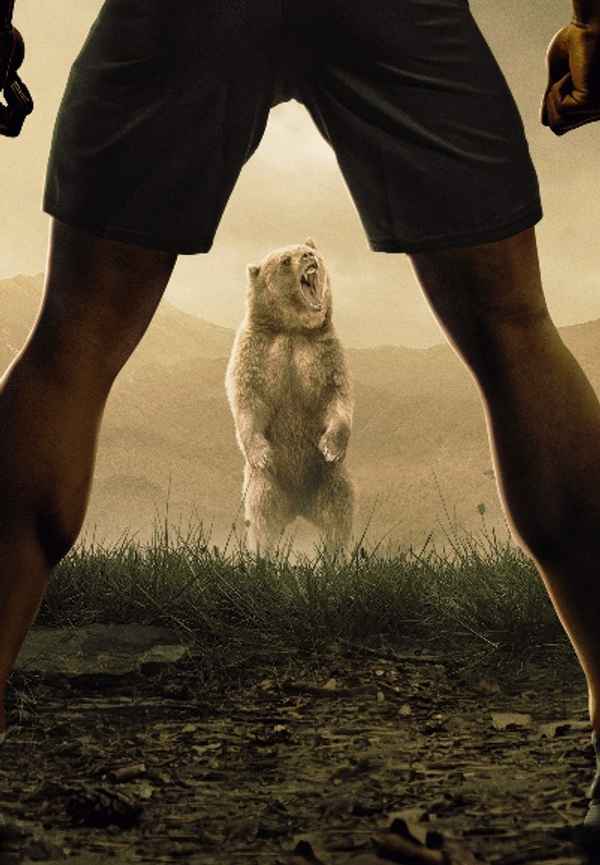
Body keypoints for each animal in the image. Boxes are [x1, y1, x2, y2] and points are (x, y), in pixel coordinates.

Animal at [225, 238, 355, 555]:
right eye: (285, 260)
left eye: (309, 249)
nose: (308, 255)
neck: (292, 328)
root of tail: (299, 506)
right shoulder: (256, 349)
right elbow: (248, 398)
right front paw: (262, 454)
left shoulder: (324, 351)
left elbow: (337, 395)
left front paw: (330, 447)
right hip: (267, 487)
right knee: (262, 519)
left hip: (330, 481)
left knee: (339, 517)